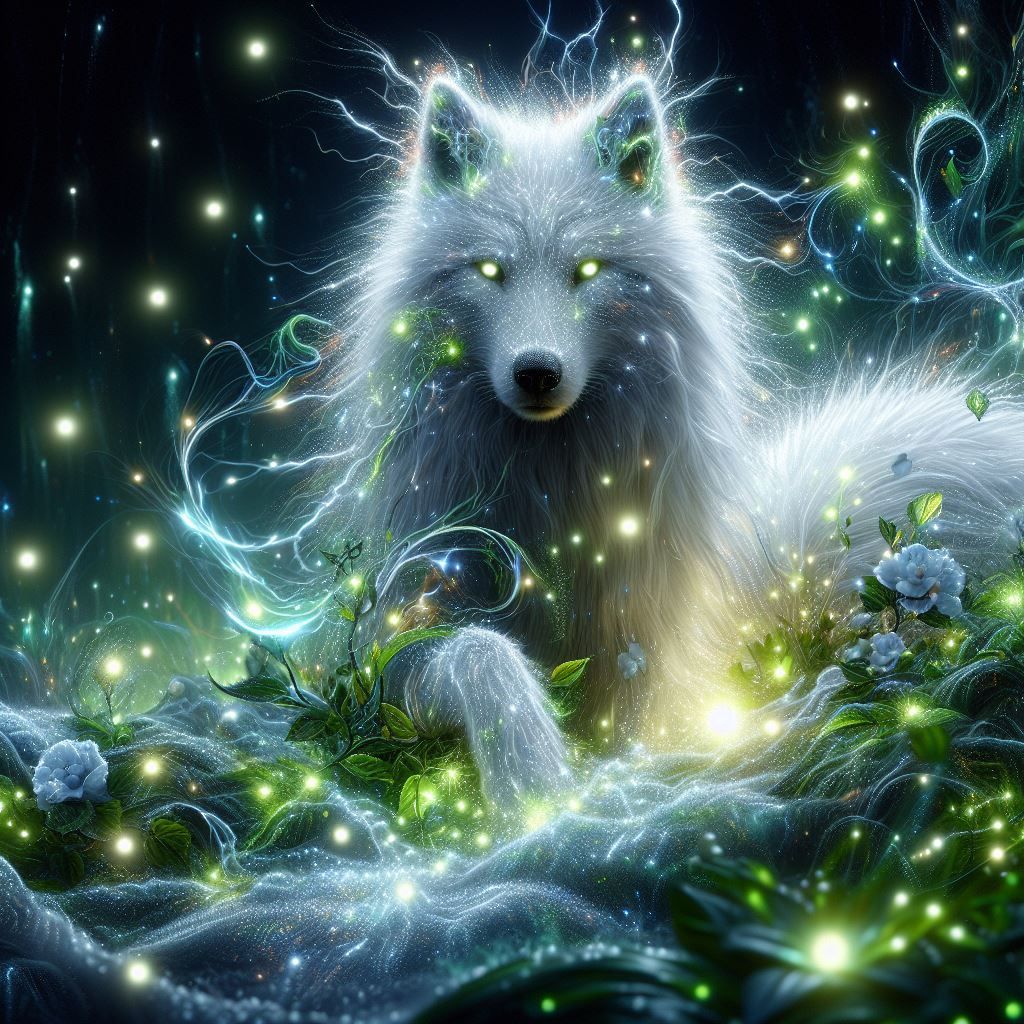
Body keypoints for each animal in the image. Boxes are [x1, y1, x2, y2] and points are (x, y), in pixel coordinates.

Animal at [337, 75, 1024, 805]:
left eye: (589, 269)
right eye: (490, 271)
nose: (537, 372)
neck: (550, 490)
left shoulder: (650, 652)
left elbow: (637, 729)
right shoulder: (396, 636)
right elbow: (478, 651)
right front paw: (536, 774)